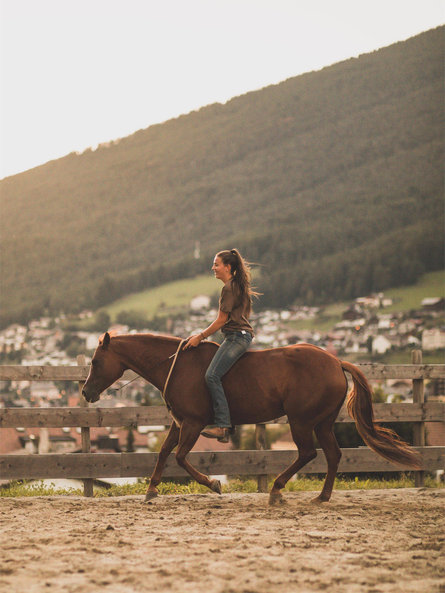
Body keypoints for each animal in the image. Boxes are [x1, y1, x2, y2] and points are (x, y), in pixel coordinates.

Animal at [83, 330, 420, 502]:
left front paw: (213, 485)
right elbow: (165, 452)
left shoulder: (192, 424)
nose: (86, 392)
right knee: (333, 454)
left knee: (308, 453)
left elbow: (179, 457)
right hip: (322, 423)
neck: (177, 367)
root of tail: (336, 362)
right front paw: (151, 490)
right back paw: (322, 496)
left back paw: (277, 490)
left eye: (96, 362)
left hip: (301, 421)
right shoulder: (180, 423)